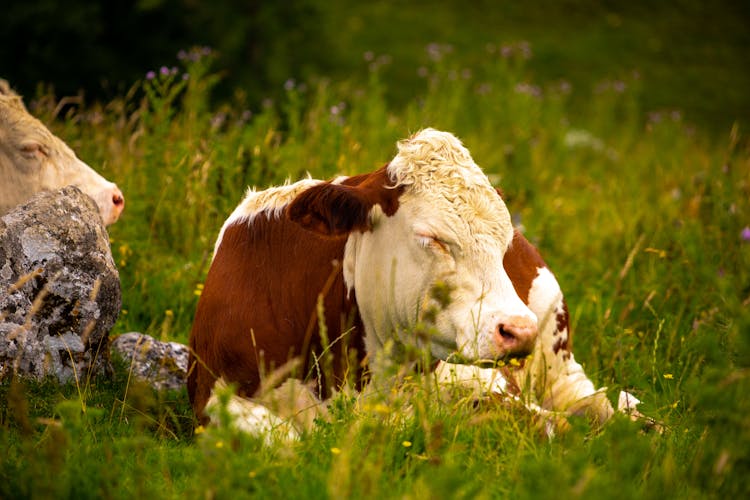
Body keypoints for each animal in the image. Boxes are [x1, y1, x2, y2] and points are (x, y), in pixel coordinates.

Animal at [188, 128, 640, 438]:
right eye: (431, 237)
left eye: (503, 240)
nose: (519, 329)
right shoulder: (213, 394)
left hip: (558, 354)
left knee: (594, 401)